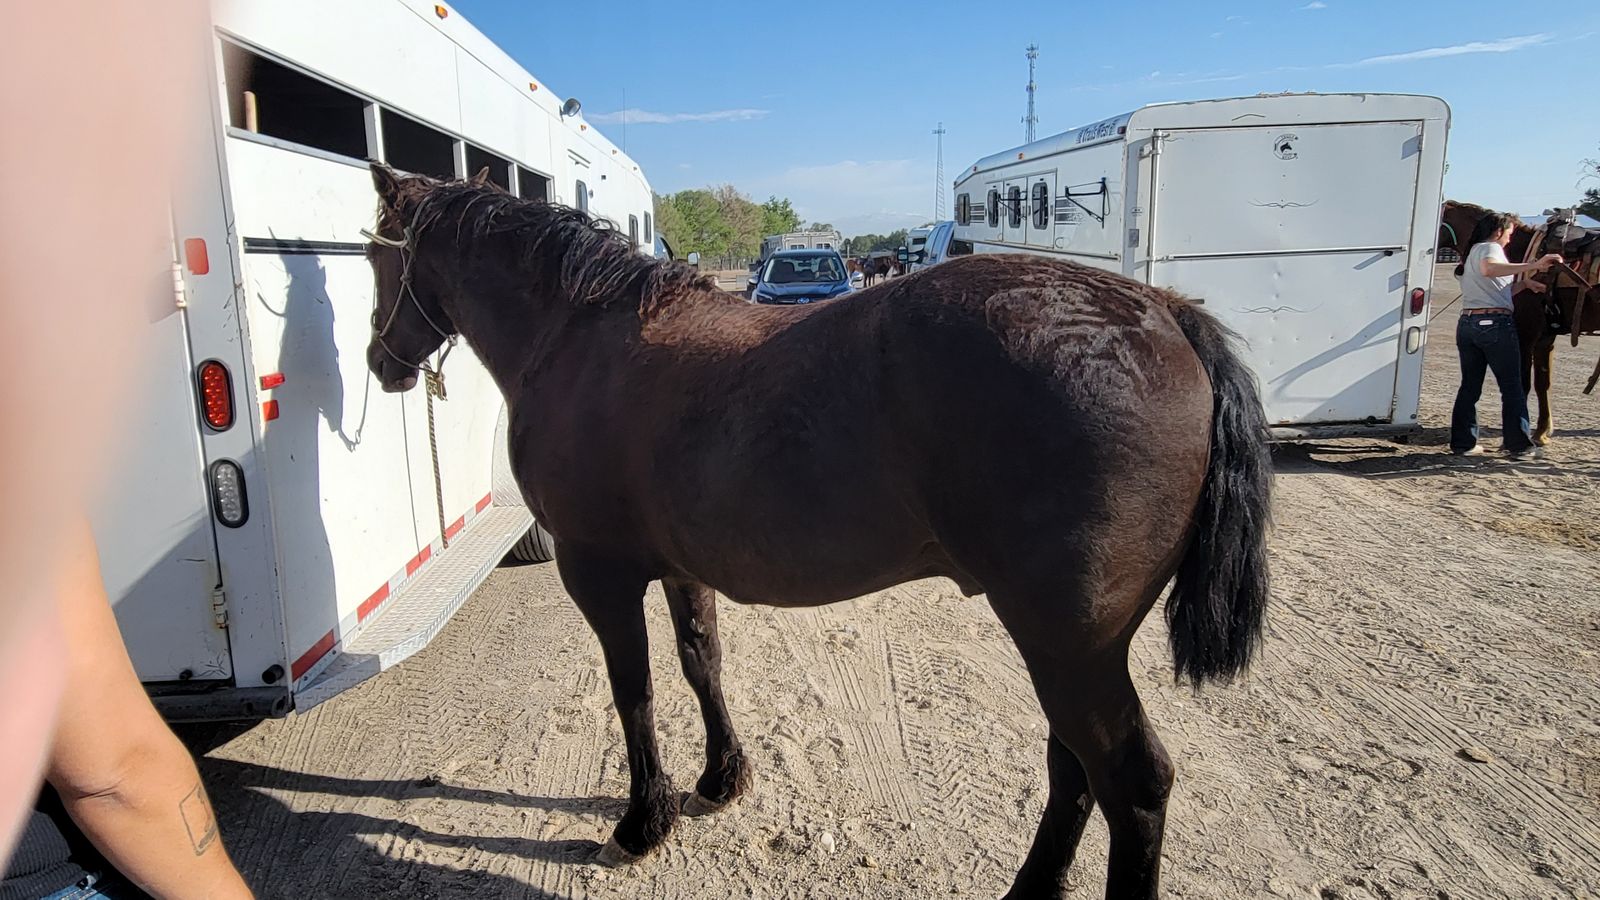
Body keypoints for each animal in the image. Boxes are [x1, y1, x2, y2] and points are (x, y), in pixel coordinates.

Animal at [363, 164, 1272, 900]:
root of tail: (1163, 314)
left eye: (373, 255)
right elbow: (701, 665)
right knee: (1071, 768)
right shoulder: (680, 568)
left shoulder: (598, 575)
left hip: (1070, 646)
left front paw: (643, 822)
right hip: (1069, 647)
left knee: (1131, 784)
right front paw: (721, 780)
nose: (381, 362)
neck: (578, 338)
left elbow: (636, 693)